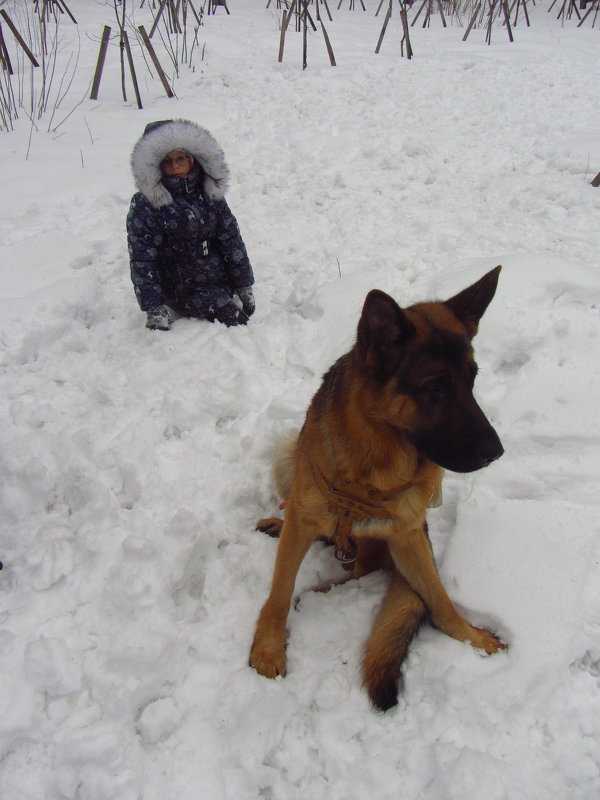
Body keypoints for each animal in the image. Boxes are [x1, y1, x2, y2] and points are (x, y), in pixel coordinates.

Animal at [248, 268, 506, 712]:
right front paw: (268, 648)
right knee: (300, 522)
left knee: (359, 572)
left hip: (377, 543)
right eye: (433, 387)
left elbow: (439, 597)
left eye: (471, 380)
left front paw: (471, 636)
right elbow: (279, 591)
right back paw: (280, 528)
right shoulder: (307, 514)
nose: (496, 452)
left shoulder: (409, 535)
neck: (376, 461)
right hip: (287, 458)